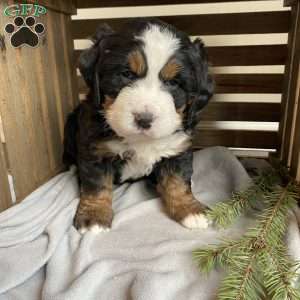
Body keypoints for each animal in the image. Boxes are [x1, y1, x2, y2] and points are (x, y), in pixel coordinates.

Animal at [63, 18, 213, 234]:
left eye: (174, 83)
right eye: (126, 74)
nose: (144, 119)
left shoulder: (178, 148)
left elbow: (177, 181)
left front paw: (190, 209)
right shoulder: (94, 149)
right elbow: (96, 184)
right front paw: (94, 216)